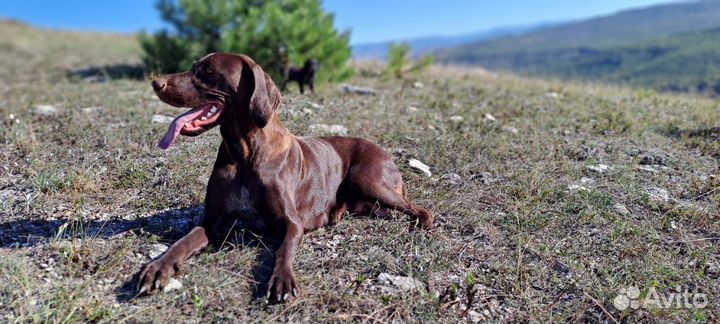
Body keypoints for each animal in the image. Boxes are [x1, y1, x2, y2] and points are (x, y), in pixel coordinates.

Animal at [141, 52, 434, 302]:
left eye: (207, 72)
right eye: (194, 67)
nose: (156, 82)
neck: (244, 155)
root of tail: (385, 152)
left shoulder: (292, 223)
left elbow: (283, 251)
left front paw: (281, 279)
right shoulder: (211, 221)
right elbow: (182, 242)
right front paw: (158, 266)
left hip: (368, 179)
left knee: (420, 209)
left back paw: (419, 223)